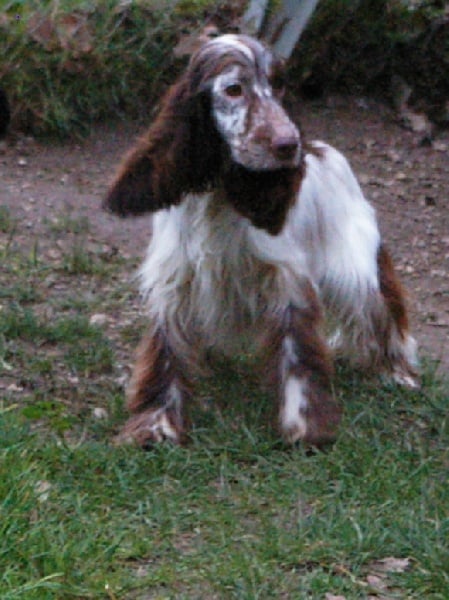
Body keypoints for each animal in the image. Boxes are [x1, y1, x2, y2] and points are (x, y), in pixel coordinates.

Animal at [103, 32, 418, 446]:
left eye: (278, 85)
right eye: (234, 89)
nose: (289, 145)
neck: (220, 193)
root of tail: (324, 149)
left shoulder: (286, 280)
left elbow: (297, 353)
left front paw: (304, 426)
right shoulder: (175, 279)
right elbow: (166, 351)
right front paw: (156, 424)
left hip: (355, 268)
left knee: (384, 312)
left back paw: (397, 371)